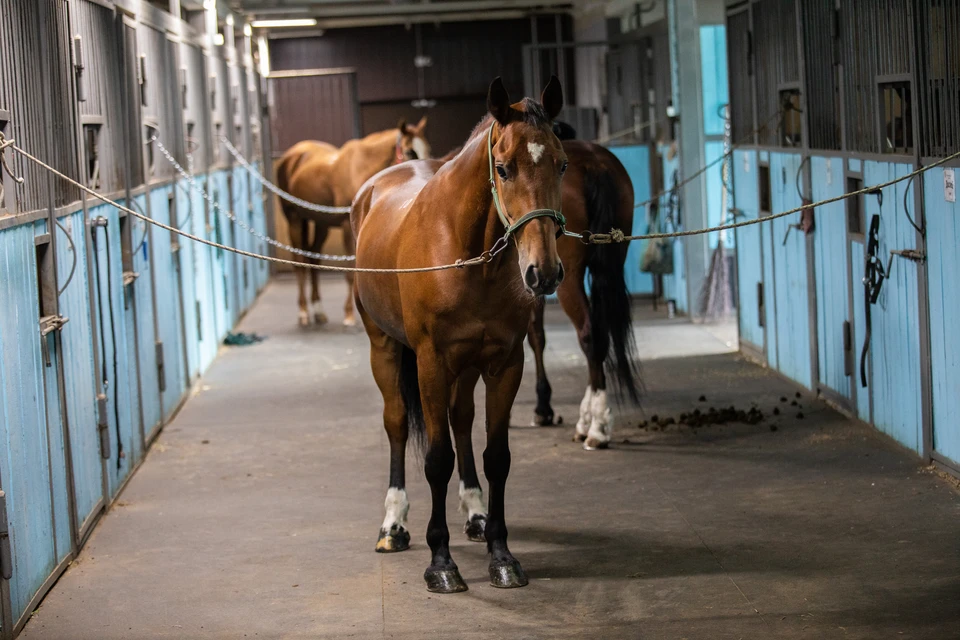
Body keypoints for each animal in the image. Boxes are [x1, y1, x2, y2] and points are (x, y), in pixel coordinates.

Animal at [276, 119, 430, 328]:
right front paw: (349, 315)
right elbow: (350, 272)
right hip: (294, 219)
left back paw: (319, 311)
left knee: (313, 258)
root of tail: (291, 156)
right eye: (409, 151)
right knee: (299, 262)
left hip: (321, 223)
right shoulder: (347, 228)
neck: (360, 168)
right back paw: (303, 313)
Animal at [352, 77, 568, 592]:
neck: (465, 253)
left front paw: (501, 554)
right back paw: (393, 526)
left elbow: (496, 456)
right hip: (384, 347)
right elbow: (436, 458)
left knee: (462, 419)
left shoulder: (505, 362)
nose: (544, 272)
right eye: (503, 169)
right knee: (396, 423)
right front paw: (441, 563)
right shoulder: (431, 362)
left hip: (466, 366)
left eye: (562, 164)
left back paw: (474, 513)